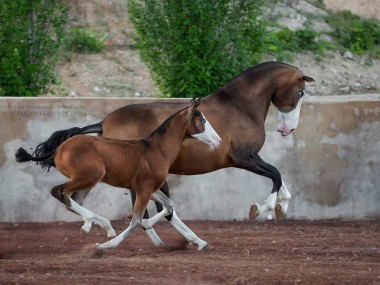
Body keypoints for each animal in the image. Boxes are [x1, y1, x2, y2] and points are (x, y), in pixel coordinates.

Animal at [16, 60, 314, 224]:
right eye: (300, 93)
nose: (288, 129)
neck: (239, 105)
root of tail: (104, 122)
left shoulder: (249, 159)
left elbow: (279, 177)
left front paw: (282, 206)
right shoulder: (244, 158)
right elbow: (275, 174)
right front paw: (262, 208)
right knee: (143, 204)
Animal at [16, 98, 221, 248]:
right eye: (203, 120)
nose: (218, 141)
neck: (156, 149)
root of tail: (60, 149)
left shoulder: (148, 188)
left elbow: (169, 205)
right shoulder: (145, 189)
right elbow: (137, 220)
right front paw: (105, 246)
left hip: (88, 181)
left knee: (73, 200)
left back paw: (99, 226)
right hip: (88, 177)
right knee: (60, 192)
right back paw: (95, 224)